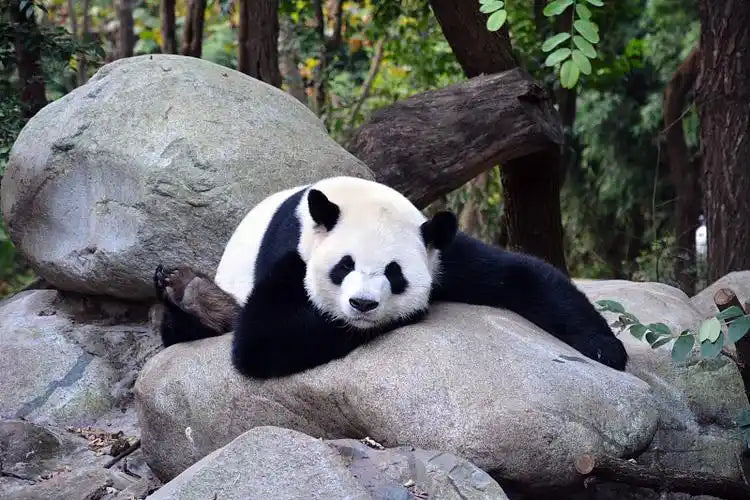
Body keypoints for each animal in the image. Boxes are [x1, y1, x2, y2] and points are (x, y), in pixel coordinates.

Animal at [154, 176, 627, 379]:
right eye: (343, 266)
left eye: (394, 273)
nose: (363, 305)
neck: (352, 197)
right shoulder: (292, 251)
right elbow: (263, 339)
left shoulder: (436, 248)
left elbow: (522, 275)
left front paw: (606, 349)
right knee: (186, 326)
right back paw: (188, 292)